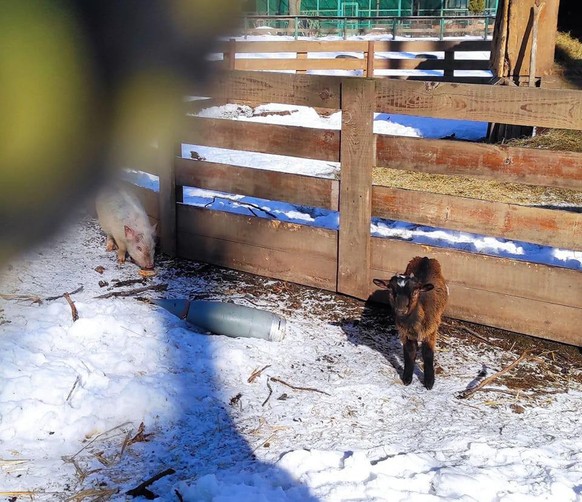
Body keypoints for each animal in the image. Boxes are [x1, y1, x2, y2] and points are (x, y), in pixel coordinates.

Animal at [376, 256, 450, 390]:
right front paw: (407, 378)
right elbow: (410, 351)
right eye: (390, 290)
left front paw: (429, 382)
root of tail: (426, 257)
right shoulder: (405, 333)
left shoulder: (431, 330)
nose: (400, 310)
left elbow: (427, 353)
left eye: (415, 292)